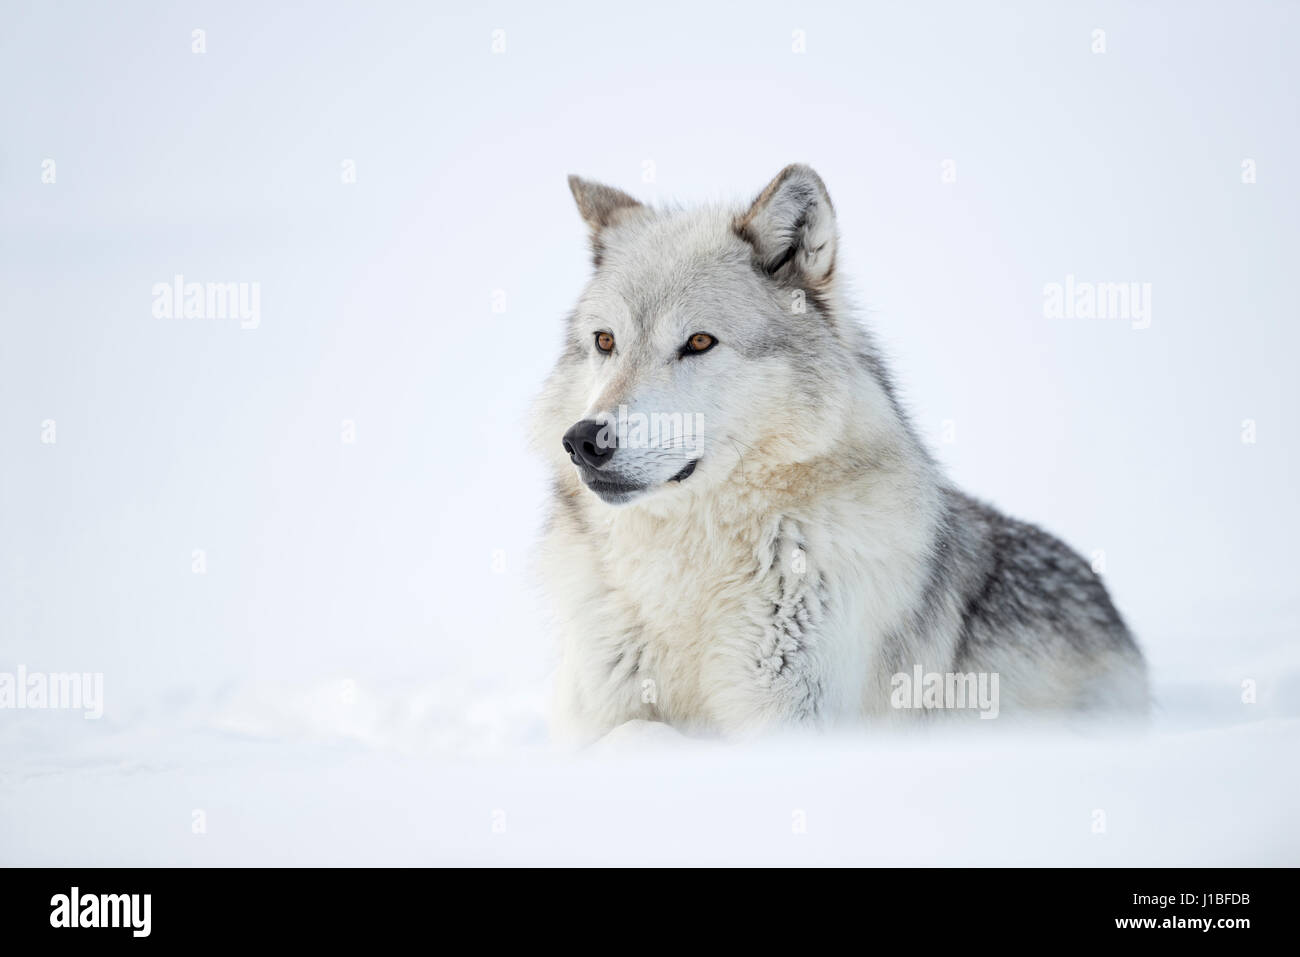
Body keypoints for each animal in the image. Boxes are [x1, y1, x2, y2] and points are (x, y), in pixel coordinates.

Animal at [532, 164, 1148, 743]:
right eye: (605, 342)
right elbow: (632, 730)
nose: (584, 440)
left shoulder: (793, 725)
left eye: (699, 342)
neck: (687, 571)